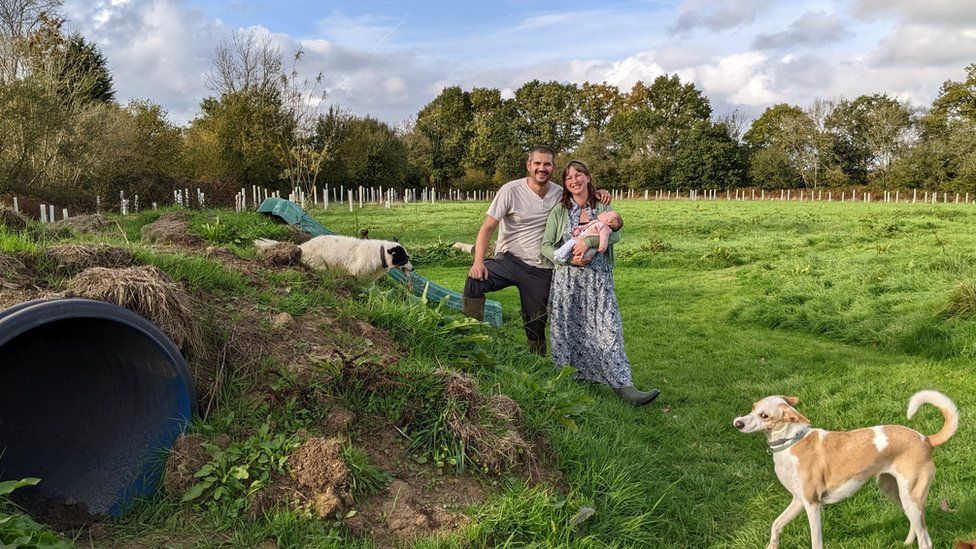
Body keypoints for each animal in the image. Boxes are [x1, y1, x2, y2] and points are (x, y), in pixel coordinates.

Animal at [736, 390, 956, 548]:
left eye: (764, 415)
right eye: (753, 407)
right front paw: (771, 546)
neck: (791, 442)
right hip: (895, 492)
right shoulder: (799, 501)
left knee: (925, 539)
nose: (737, 423)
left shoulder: (812, 504)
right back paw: (907, 542)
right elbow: (776, 524)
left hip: (910, 497)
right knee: (918, 526)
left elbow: (816, 541)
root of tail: (926, 440)